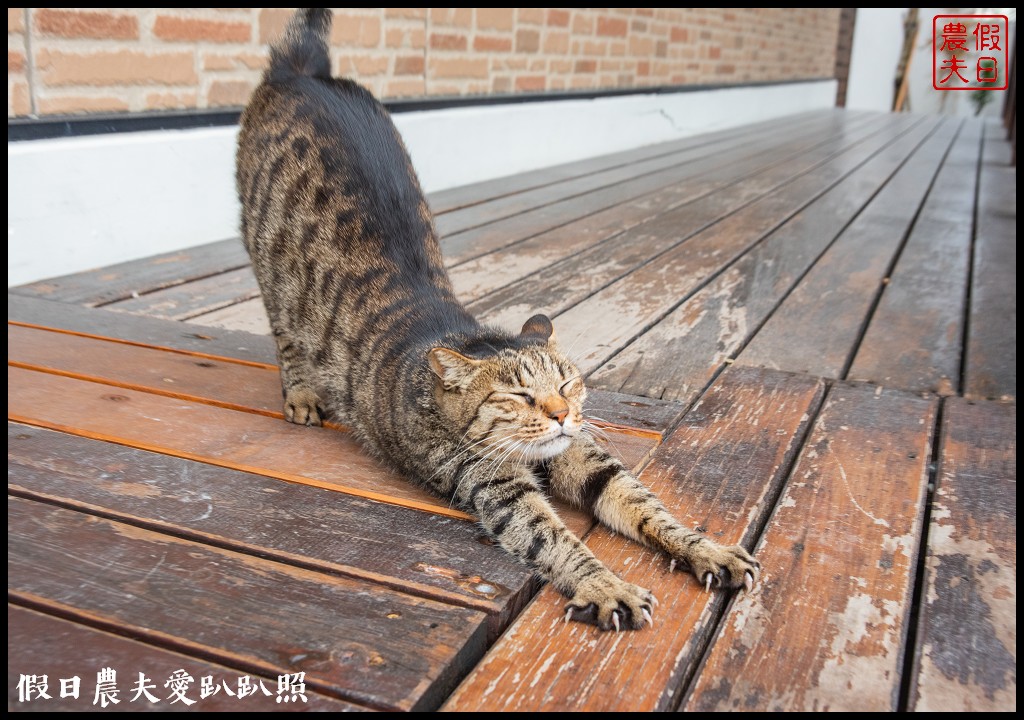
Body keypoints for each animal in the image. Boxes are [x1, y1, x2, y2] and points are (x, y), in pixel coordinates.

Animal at [235, 8, 757, 634]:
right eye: (519, 396)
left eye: (567, 384)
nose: (561, 414)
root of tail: (302, 69)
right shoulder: (497, 487)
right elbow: (555, 539)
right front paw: (606, 584)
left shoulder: (583, 455)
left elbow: (644, 503)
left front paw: (707, 549)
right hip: (270, 267)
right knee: (286, 336)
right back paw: (302, 394)